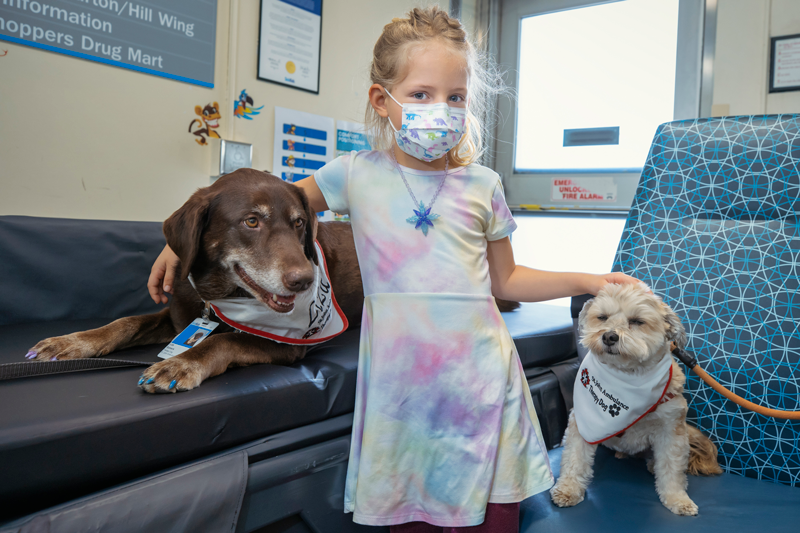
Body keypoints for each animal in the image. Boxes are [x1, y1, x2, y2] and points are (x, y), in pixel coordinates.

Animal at [26, 169, 519, 393]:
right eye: (251, 221)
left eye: (300, 223)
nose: (303, 281)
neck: (219, 295)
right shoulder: (181, 314)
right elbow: (124, 322)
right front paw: (70, 342)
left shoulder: (287, 345)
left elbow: (223, 341)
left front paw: (182, 363)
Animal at [550, 283, 722, 516]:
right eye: (602, 317)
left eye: (637, 321)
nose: (609, 337)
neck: (627, 375)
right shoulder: (582, 423)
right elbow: (575, 458)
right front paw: (568, 489)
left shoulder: (672, 429)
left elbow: (672, 468)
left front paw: (677, 498)